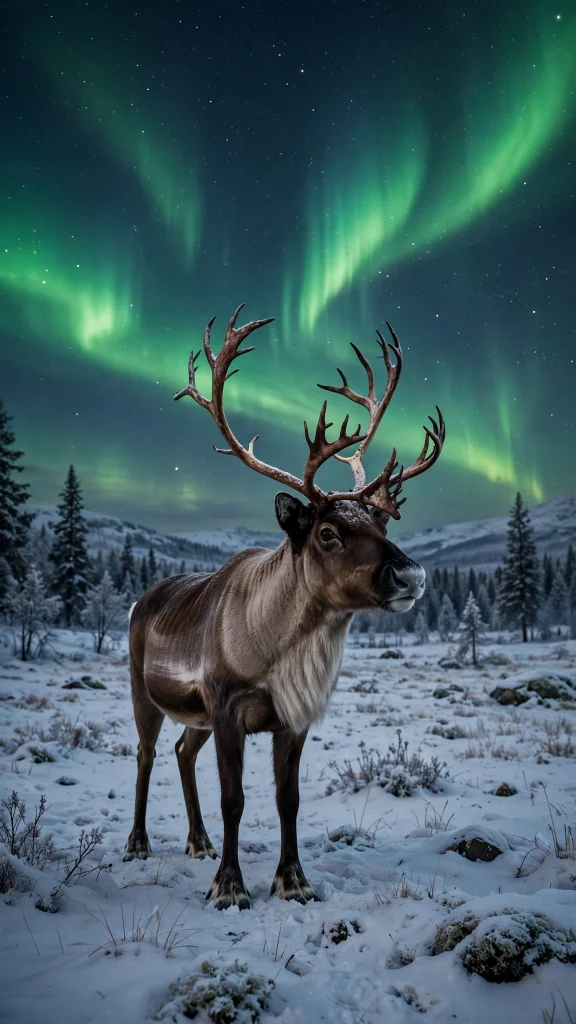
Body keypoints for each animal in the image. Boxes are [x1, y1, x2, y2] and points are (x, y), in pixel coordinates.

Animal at [124, 305, 445, 910]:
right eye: (327, 532)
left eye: (383, 525)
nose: (411, 574)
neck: (280, 650)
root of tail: (141, 600)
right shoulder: (227, 707)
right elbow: (234, 799)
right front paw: (229, 887)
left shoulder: (292, 720)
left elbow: (287, 800)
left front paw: (294, 881)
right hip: (142, 691)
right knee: (147, 753)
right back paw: (138, 844)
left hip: (195, 716)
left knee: (181, 750)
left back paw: (198, 841)